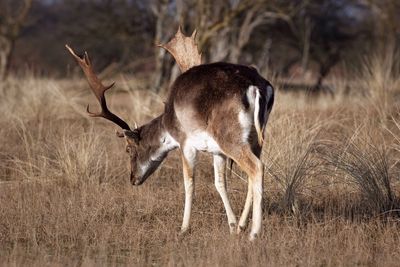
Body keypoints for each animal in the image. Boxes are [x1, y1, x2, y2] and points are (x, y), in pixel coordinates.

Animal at [66, 27, 276, 241]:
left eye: (128, 149)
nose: (132, 179)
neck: (169, 123)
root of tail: (256, 87)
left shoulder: (186, 143)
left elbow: (189, 183)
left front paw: (183, 228)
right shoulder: (217, 151)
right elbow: (219, 183)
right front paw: (233, 227)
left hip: (229, 137)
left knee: (256, 167)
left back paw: (254, 234)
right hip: (256, 137)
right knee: (252, 172)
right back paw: (244, 226)